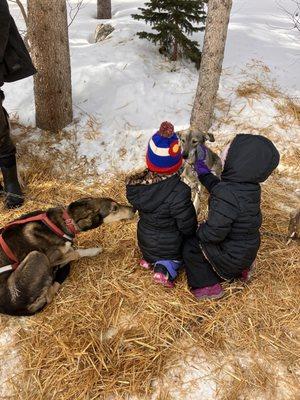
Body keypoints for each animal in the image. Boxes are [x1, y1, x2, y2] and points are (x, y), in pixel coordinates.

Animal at [0, 197, 134, 316]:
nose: (133, 209)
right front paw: (93, 250)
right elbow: (75, 253)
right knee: (48, 296)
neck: (65, 222)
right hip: (37, 255)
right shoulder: (51, 259)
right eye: (115, 208)